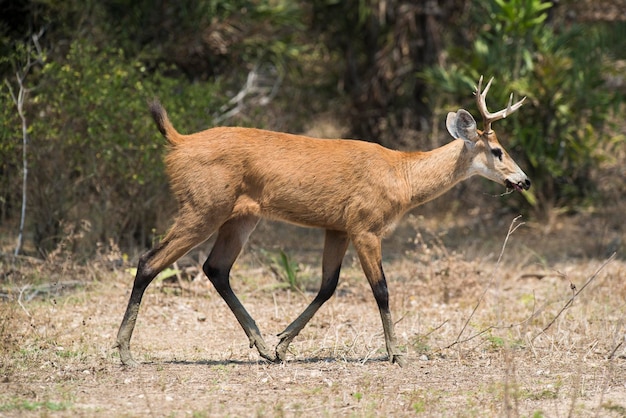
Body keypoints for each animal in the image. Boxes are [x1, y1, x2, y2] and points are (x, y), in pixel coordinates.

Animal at [113, 75, 528, 366]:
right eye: (497, 150)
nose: (524, 180)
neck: (401, 176)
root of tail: (178, 142)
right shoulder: (365, 226)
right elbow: (381, 289)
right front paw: (396, 353)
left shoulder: (337, 227)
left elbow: (328, 286)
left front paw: (282, 343)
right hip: (202, 207)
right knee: (149, 261)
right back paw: (126, 353)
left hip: (239, 216)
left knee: (216, 268)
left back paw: (262, 347)